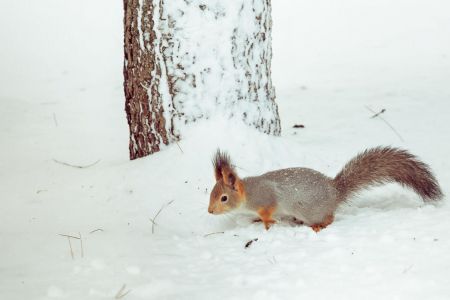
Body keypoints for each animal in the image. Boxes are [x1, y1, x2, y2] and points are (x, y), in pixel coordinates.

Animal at [208, 146, 442, 231]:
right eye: (212, 193)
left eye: (224, 198)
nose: (210, 211)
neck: (248, 194)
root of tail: (335, 192)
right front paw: (256, 220)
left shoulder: (267, 198)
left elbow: (268, 211)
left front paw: (266, 223)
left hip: (309, 210)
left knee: (330, 217)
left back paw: (319, 226)